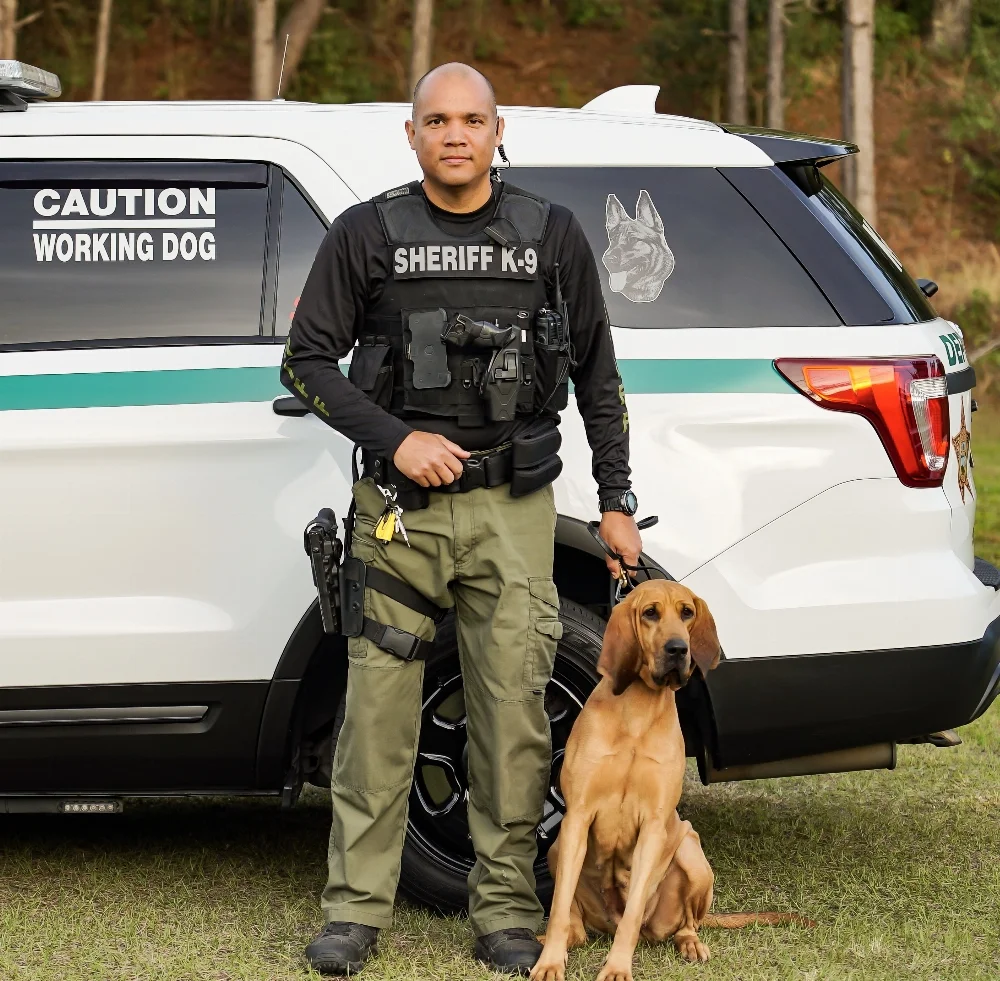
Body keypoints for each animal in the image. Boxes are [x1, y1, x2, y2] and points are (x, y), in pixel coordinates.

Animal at [532, 580, 804, 980]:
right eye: (650, 613)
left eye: (687, 612)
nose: (678, 649)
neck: (636, 712)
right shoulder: (577, 818)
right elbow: (559, 908)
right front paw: (550, 962)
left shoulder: (654, 825)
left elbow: (632, 914)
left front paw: (617, 968)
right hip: (557, 850)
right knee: (576, 927)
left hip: (691, 851)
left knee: (684, 924)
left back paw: (691, 944)